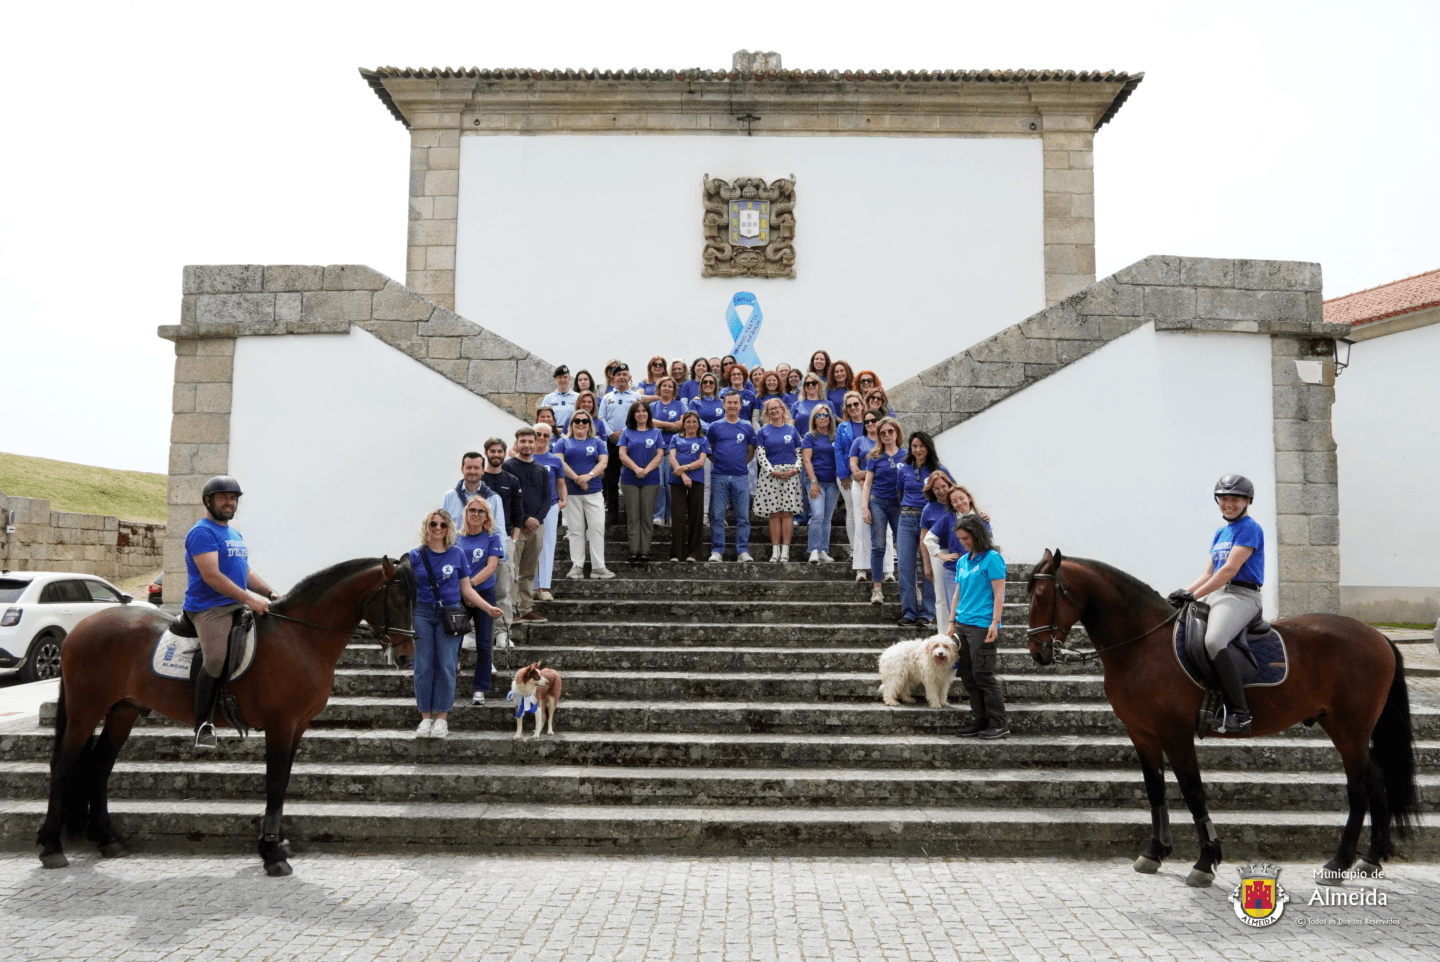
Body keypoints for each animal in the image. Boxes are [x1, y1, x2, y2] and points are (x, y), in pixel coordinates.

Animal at [37, 556, 416, 877]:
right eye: (398, 600)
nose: (406, 656)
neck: (301, 636)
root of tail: (81, 627)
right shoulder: (281, 724)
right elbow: (275, 783)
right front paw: (272, 855)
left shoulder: (298, 726)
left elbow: (283, 783)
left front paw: (276, 845)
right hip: (87, 709)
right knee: (63, 765)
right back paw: (51, 848)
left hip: (122, 711)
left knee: (100, 766)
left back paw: (108, 841)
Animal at [1024, 549, 1418, 888]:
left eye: (1042, 597)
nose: (1037, 653)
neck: (1142, 643)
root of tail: (1377, 635)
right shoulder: (1142, 734)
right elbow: (1155, 791)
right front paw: (1155, 853)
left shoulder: (1175, 734)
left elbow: (1193, 792)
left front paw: (1205, 861)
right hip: (1348, 729)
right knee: (1377, 780)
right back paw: (1371, 858)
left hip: (1349, 729)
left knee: (1359, 788)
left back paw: (1339, 862)